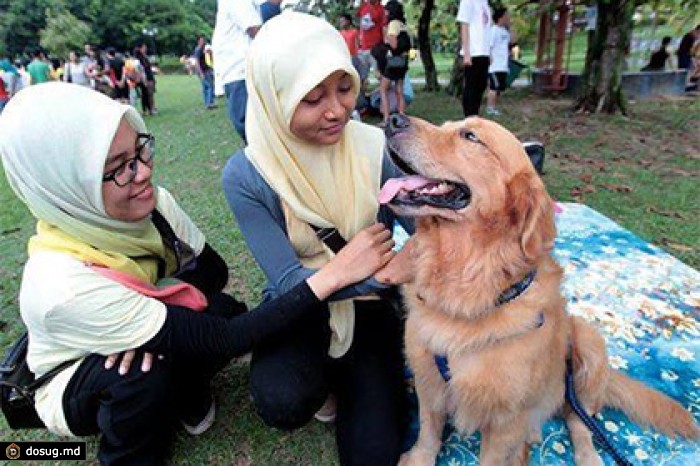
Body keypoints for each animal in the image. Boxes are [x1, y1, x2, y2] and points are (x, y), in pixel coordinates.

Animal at [380, 114, 696, 466]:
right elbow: (428, 435)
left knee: (580, 420)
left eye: (470, 136)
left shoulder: (505, 419)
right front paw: (417, 458)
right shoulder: (428, 382)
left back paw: (586, 454)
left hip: (587, 343)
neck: (464, 281)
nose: (393, 119)